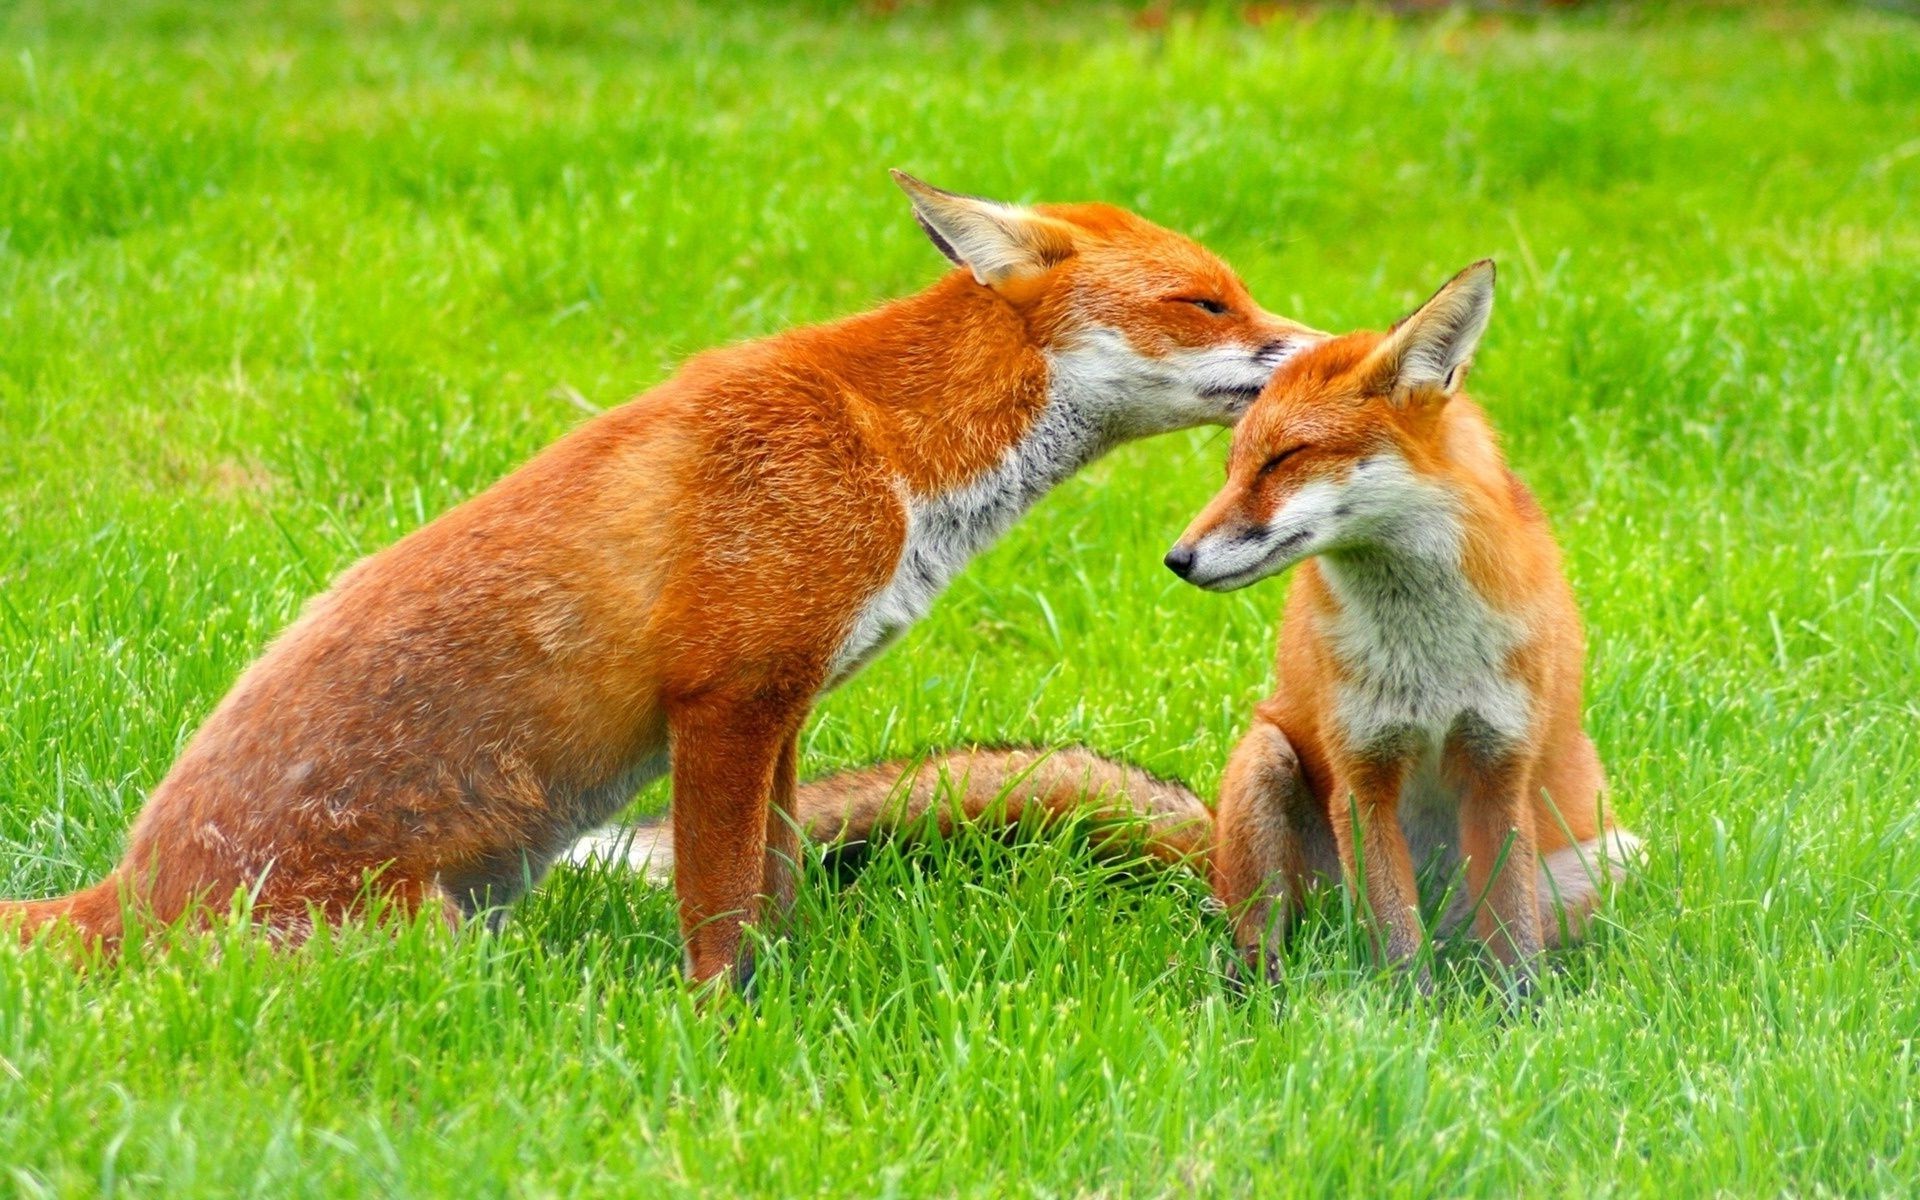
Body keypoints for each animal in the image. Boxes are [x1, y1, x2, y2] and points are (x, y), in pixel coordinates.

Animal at [0, 172, 1320, 990]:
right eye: (1207, 300)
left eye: (1241, 292)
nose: (1333, 352)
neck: (893, 453)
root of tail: (121, 898)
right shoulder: (723, 699)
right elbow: (716, 908)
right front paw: (720, 1026)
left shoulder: (785, 706)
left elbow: (776, 885)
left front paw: (791, 995)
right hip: (430, 940)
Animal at [576, 259, 1643, 983]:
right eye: (1233, 464)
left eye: (1284, 459)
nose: (1178, 560)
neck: (1426, 648)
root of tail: (1211, 847)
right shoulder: (1363, 772)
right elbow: (1398, 944)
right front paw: (1412, 1022)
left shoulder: (1498, 763)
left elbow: (1510, 945)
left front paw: (1505, 1028)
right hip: (1268, 767)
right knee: (1272, 939)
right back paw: (1263, 993)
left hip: (1605, 858)